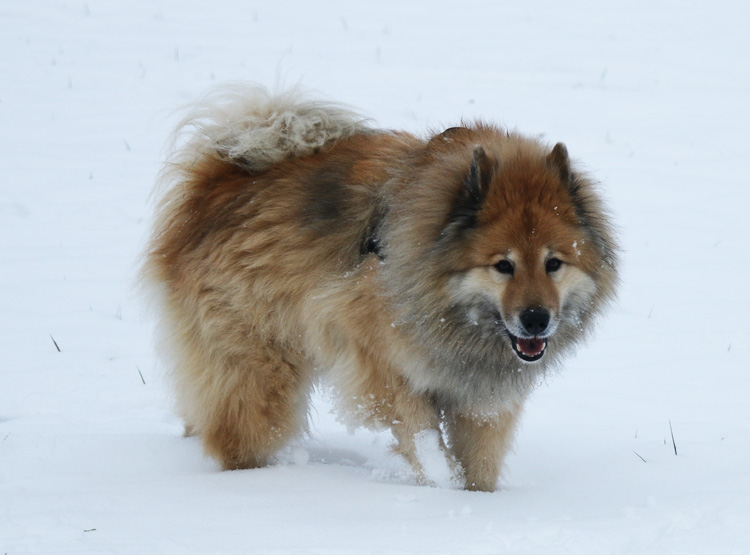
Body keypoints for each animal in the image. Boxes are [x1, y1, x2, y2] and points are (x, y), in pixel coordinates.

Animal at [144, 84, 620, 494]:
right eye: (503, 266)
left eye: (554, 264)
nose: (536, 320)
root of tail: (218, 183)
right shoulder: (378, 360)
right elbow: (423, 435)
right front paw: (442, 488)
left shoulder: (480, 399)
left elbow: (480, 462)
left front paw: (475, 501)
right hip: (260, 373)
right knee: (238, 431)